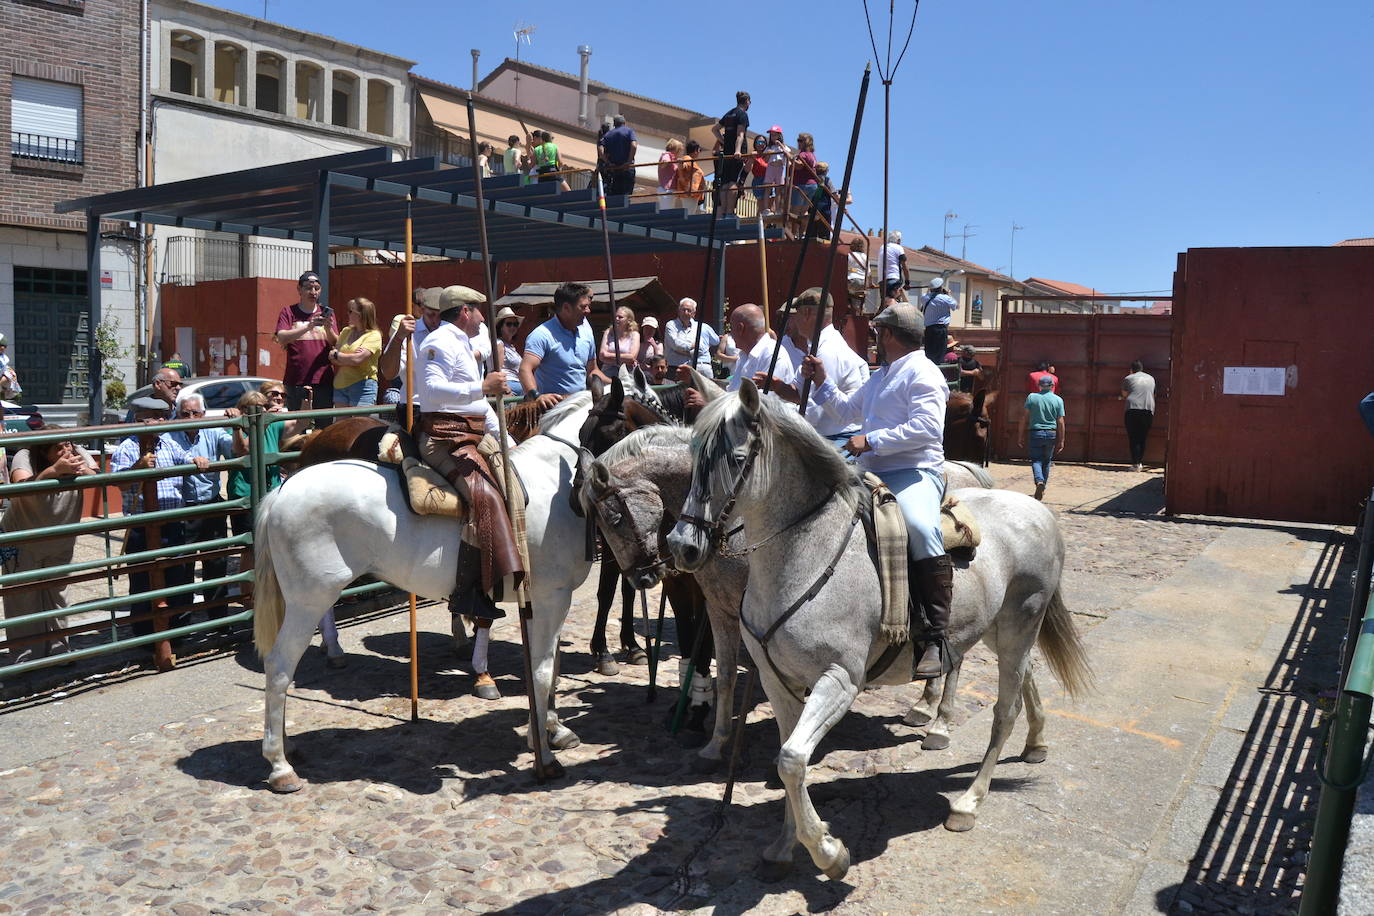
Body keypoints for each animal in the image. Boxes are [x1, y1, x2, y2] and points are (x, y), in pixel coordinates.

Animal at [252, 392, 596, 791]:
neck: (555, 483)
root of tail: (281, 490)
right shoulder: (550, 597)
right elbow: (541, 669)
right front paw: (544, 752)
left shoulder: (551, 600)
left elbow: (551, 666)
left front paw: (554, 730)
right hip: (308, 600)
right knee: (279, 666)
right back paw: (279, 765)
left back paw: (287, 746)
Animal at [667, 384, 1093, 884]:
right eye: (693, 454)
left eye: (735, 459)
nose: (681, 546)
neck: (804, 555)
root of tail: (1036, 509)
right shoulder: (778, 682)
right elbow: (789, 759)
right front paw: (785, 845)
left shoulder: (839, 680)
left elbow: (792, 760)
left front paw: (828, 852)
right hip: (1000, 631)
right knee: (1026, 678)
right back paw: (1036, 744)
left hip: (1019, 626)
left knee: (1004, 712)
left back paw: (968, 802)